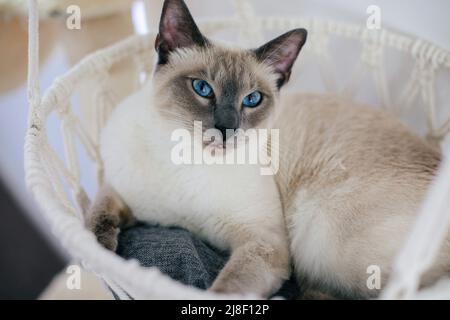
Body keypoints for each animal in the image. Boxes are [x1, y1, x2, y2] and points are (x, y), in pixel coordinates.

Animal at [87, 0, 446, 300]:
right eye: (202, 89)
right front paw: (100, 255)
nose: (227, 128)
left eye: (252, 99)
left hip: (323, 236)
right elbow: (96, 219)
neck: (184, 161)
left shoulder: (263, 244)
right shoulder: (121, 193)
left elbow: (225, 290)